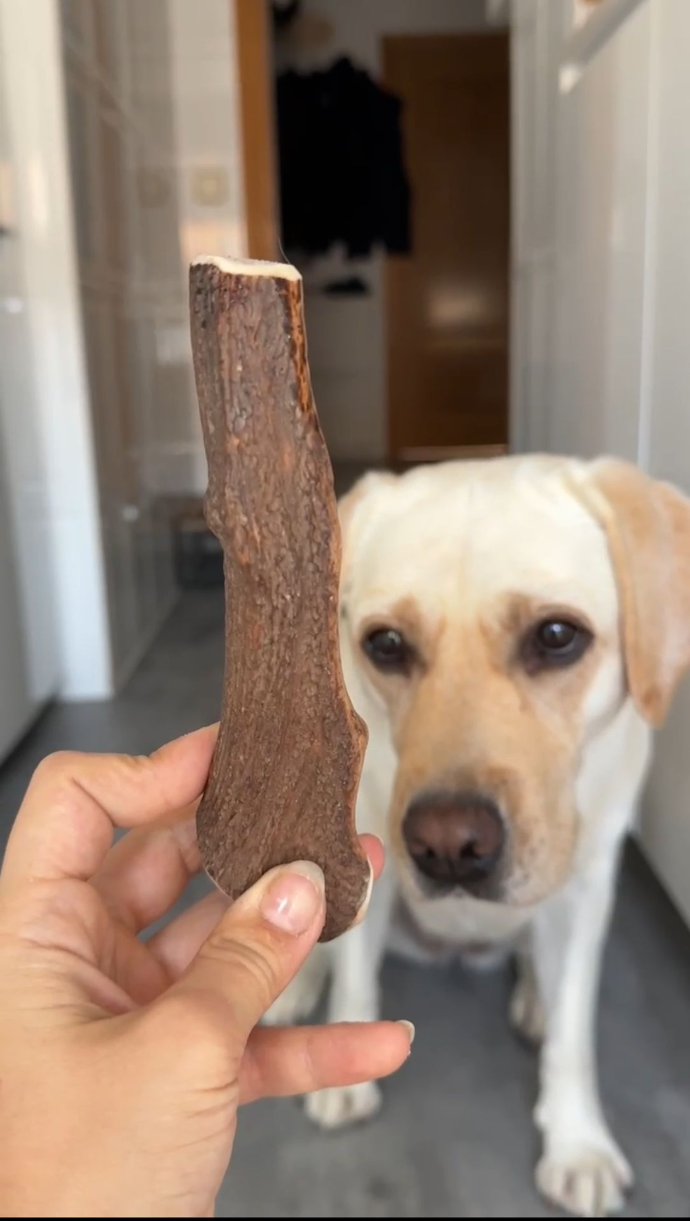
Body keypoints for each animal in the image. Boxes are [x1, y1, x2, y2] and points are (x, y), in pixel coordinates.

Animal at [266, 454, 690, 1218]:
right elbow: (354, 980)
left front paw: (577, 1142)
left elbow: (575, 1034)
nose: (448, 847)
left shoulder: (585, 890)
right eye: (386, 644)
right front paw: (346, 1074)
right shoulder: (363, 864)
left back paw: (534, 1000)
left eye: (557, 636)